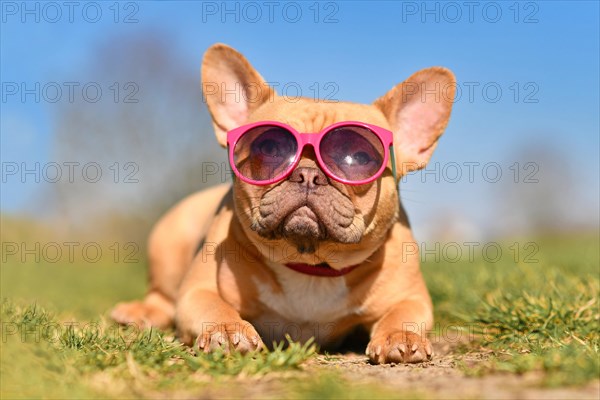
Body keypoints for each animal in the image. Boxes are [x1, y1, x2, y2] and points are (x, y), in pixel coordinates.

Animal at [111, 42, 454, 364]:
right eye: (270, 148)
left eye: (358, 158)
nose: (308, 174)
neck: (311, 264)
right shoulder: (198, 290)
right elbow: (213, 306)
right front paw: (228, 330)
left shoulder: (411, 298)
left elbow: (402, 313)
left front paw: (401, 335)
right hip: (168, 240)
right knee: (161, 297)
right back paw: (138, 313)